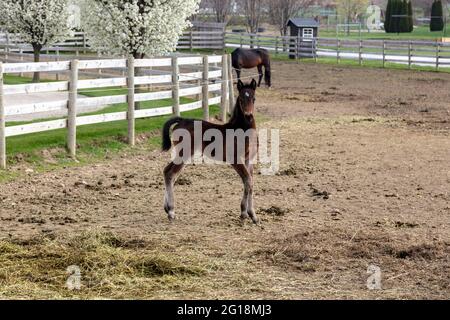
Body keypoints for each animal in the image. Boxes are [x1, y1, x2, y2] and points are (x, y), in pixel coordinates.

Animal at [162, 79, 260, 224]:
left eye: (253, 98)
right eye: (241, 98)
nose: (248, 115)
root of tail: (182, 120)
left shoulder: (249, 160)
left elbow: (251, 183)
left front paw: (253, 215)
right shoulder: (235, 160)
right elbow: (247, 180)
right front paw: (243, 213)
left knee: (170, 173)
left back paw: (167, 208)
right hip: (184, 153)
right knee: (170, 173)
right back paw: (171, 212)